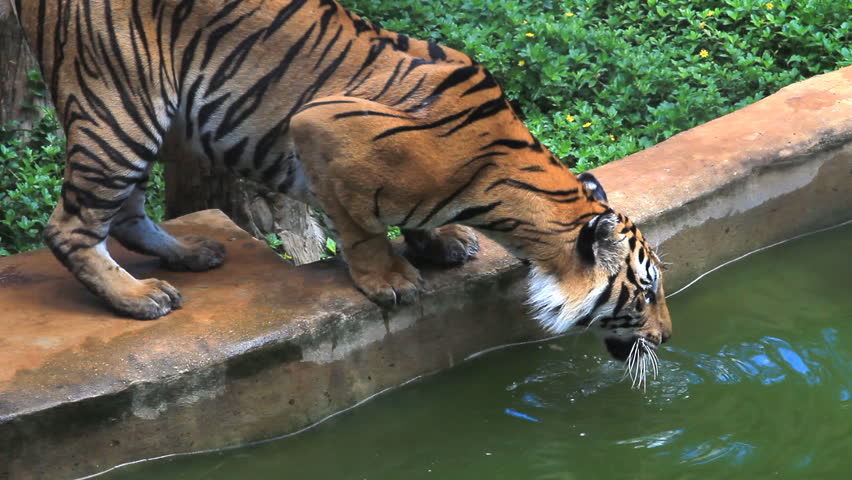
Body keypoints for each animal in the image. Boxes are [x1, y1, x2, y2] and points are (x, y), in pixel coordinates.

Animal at [13, 0, 671, 373]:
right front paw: (391, 280)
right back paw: (137, 297)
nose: (666, 338)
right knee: (69, 226)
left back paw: (190, 253)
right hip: (118, 105)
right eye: (645, 291)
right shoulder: (320, 126)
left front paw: (441, 242)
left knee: (125, 212)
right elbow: (359, 225)